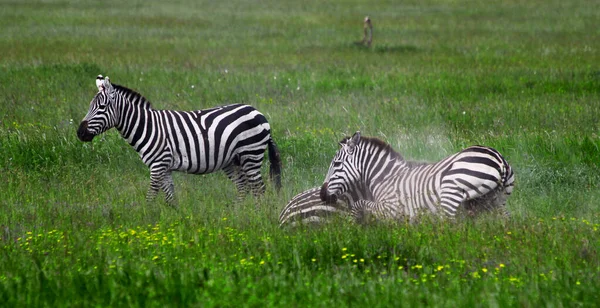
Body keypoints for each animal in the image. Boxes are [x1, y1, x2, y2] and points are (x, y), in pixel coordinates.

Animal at [77, 74, 282, 205]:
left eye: (101, 107)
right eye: (90, 106)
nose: (80, 133)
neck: (147, 127)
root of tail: (259, 113)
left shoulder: (157, 165)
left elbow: (150, 197)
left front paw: (147, 221)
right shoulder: (165, 167)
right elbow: (170, 199)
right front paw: (175, 223)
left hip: (251, 154)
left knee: (259, 189)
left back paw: (256, 215)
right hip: (233, 160)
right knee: (243, 187)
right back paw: (237, 213)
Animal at [318, 131, 516, 223]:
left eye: (336, 164)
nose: (322, 195)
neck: (385, 177)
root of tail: (500, 161)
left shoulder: (391, 207)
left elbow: (359, 204)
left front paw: (354, 223)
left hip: (450, 192)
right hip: (498, 201)